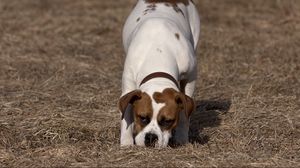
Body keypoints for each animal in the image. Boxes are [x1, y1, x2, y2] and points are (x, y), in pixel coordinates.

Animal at [119, 0, 199, 147]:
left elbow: (184, 116)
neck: (158, 53)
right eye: (142, 117)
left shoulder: (190, 79)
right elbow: (125, 116)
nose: (151, 137)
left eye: (167, 121)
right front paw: (126, 144)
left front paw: (182, 139)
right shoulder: (128, 88)